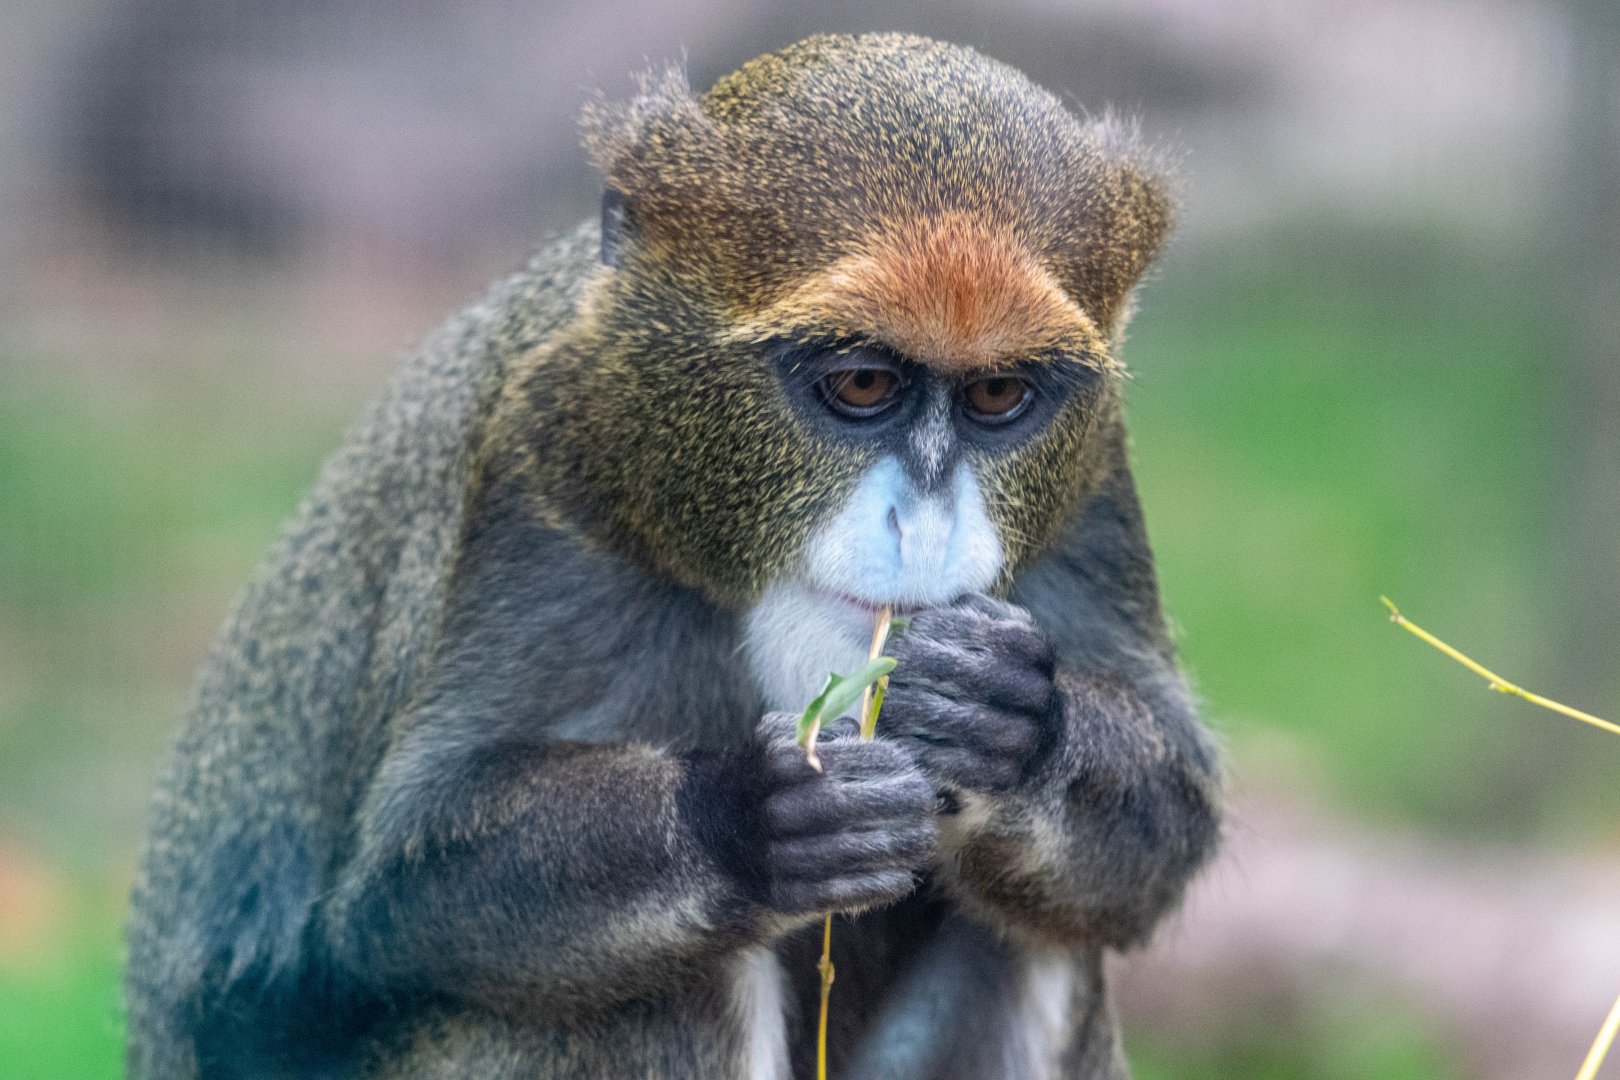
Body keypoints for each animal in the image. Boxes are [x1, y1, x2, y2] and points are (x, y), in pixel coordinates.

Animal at [124, 32, 1220, 1080]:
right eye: (862, 383)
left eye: (998, 395)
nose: (923, 526)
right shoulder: (538, 463)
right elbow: (404, 884)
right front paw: (747, 819)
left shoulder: (1095, 471)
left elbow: (1168, 827)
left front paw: (1006, 718)